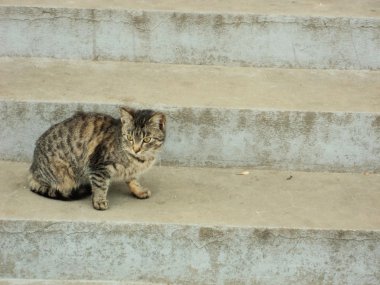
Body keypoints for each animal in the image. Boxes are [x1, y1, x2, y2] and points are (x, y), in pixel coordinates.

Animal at [29, 106, 166, 209]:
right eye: (130, 137)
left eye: (147, 139)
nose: (136, 149)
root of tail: (33, 167)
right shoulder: (99, 166)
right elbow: (100, 185)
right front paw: (99, 201)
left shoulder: (130, 170)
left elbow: (132, 180)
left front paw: (139, 191)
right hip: (63, 174)